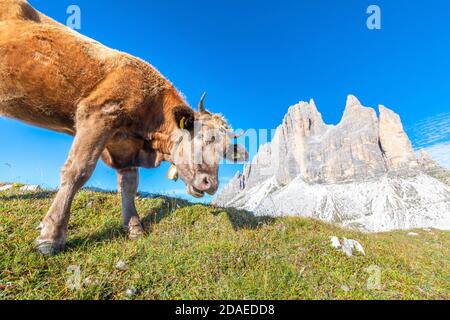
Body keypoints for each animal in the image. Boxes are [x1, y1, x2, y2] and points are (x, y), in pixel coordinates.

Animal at [0, 0, 248, 255]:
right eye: (204, 137)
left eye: (226, 152)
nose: (212, 185)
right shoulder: (97, 114)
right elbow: (78, 171)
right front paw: (51, 237)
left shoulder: (124, 146)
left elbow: (129, 185)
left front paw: (135, 227)